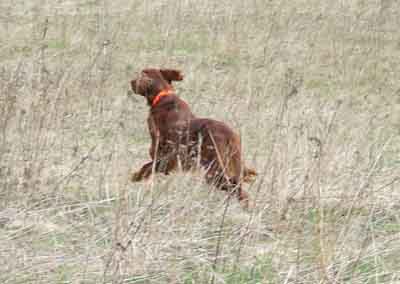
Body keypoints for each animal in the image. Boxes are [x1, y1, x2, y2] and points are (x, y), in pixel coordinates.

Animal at [130, 67, 258, 207]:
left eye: (140, 75)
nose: (131, 82)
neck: (163, 96)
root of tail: (231, 136)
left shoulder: (166, 158)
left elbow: (147, 167)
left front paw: (135, 177)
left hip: (214, 172)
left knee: (237, 189)